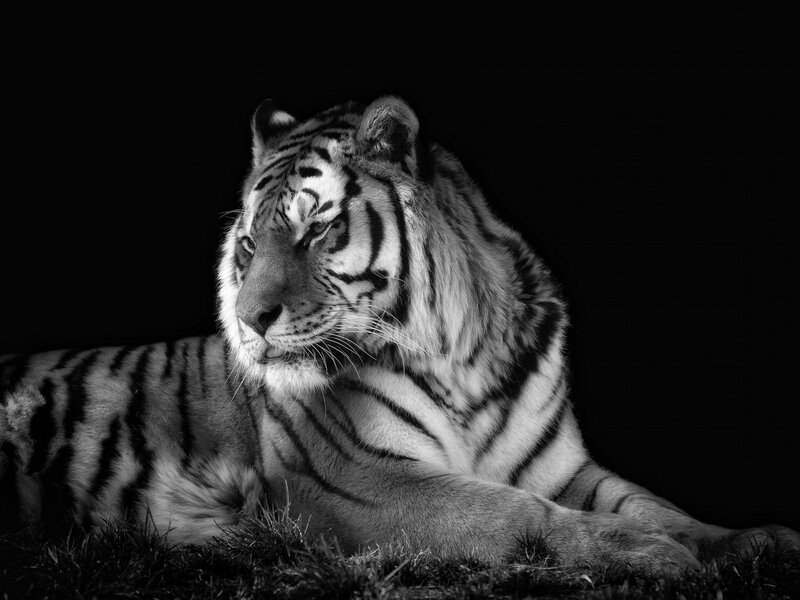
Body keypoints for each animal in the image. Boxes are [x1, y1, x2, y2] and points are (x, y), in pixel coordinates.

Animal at [1, 96, 798, 575]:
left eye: (315, 229)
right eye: (250, 245)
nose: (252, 321)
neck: (467, 359)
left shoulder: (561, 467)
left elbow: (651, 501)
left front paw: (751, 540)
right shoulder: (356, 479)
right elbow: (511, 511)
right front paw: (646, 553)